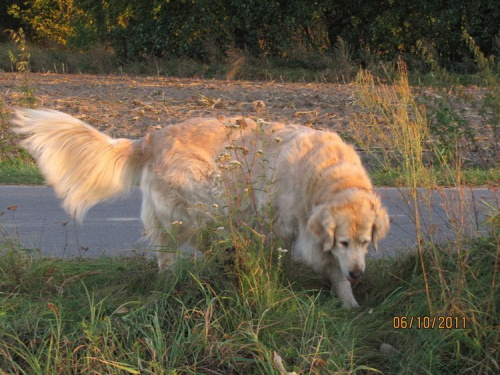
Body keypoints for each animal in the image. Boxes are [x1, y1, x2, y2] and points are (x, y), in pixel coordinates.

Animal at [12, 108, 390, 308]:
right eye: (344, 241)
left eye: (365, 242)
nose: (359, 274)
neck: (330, 174)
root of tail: (151, 137)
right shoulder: (285, 224)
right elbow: (314, 260)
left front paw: (349, 302)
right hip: (209, 194)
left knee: (167, 255)